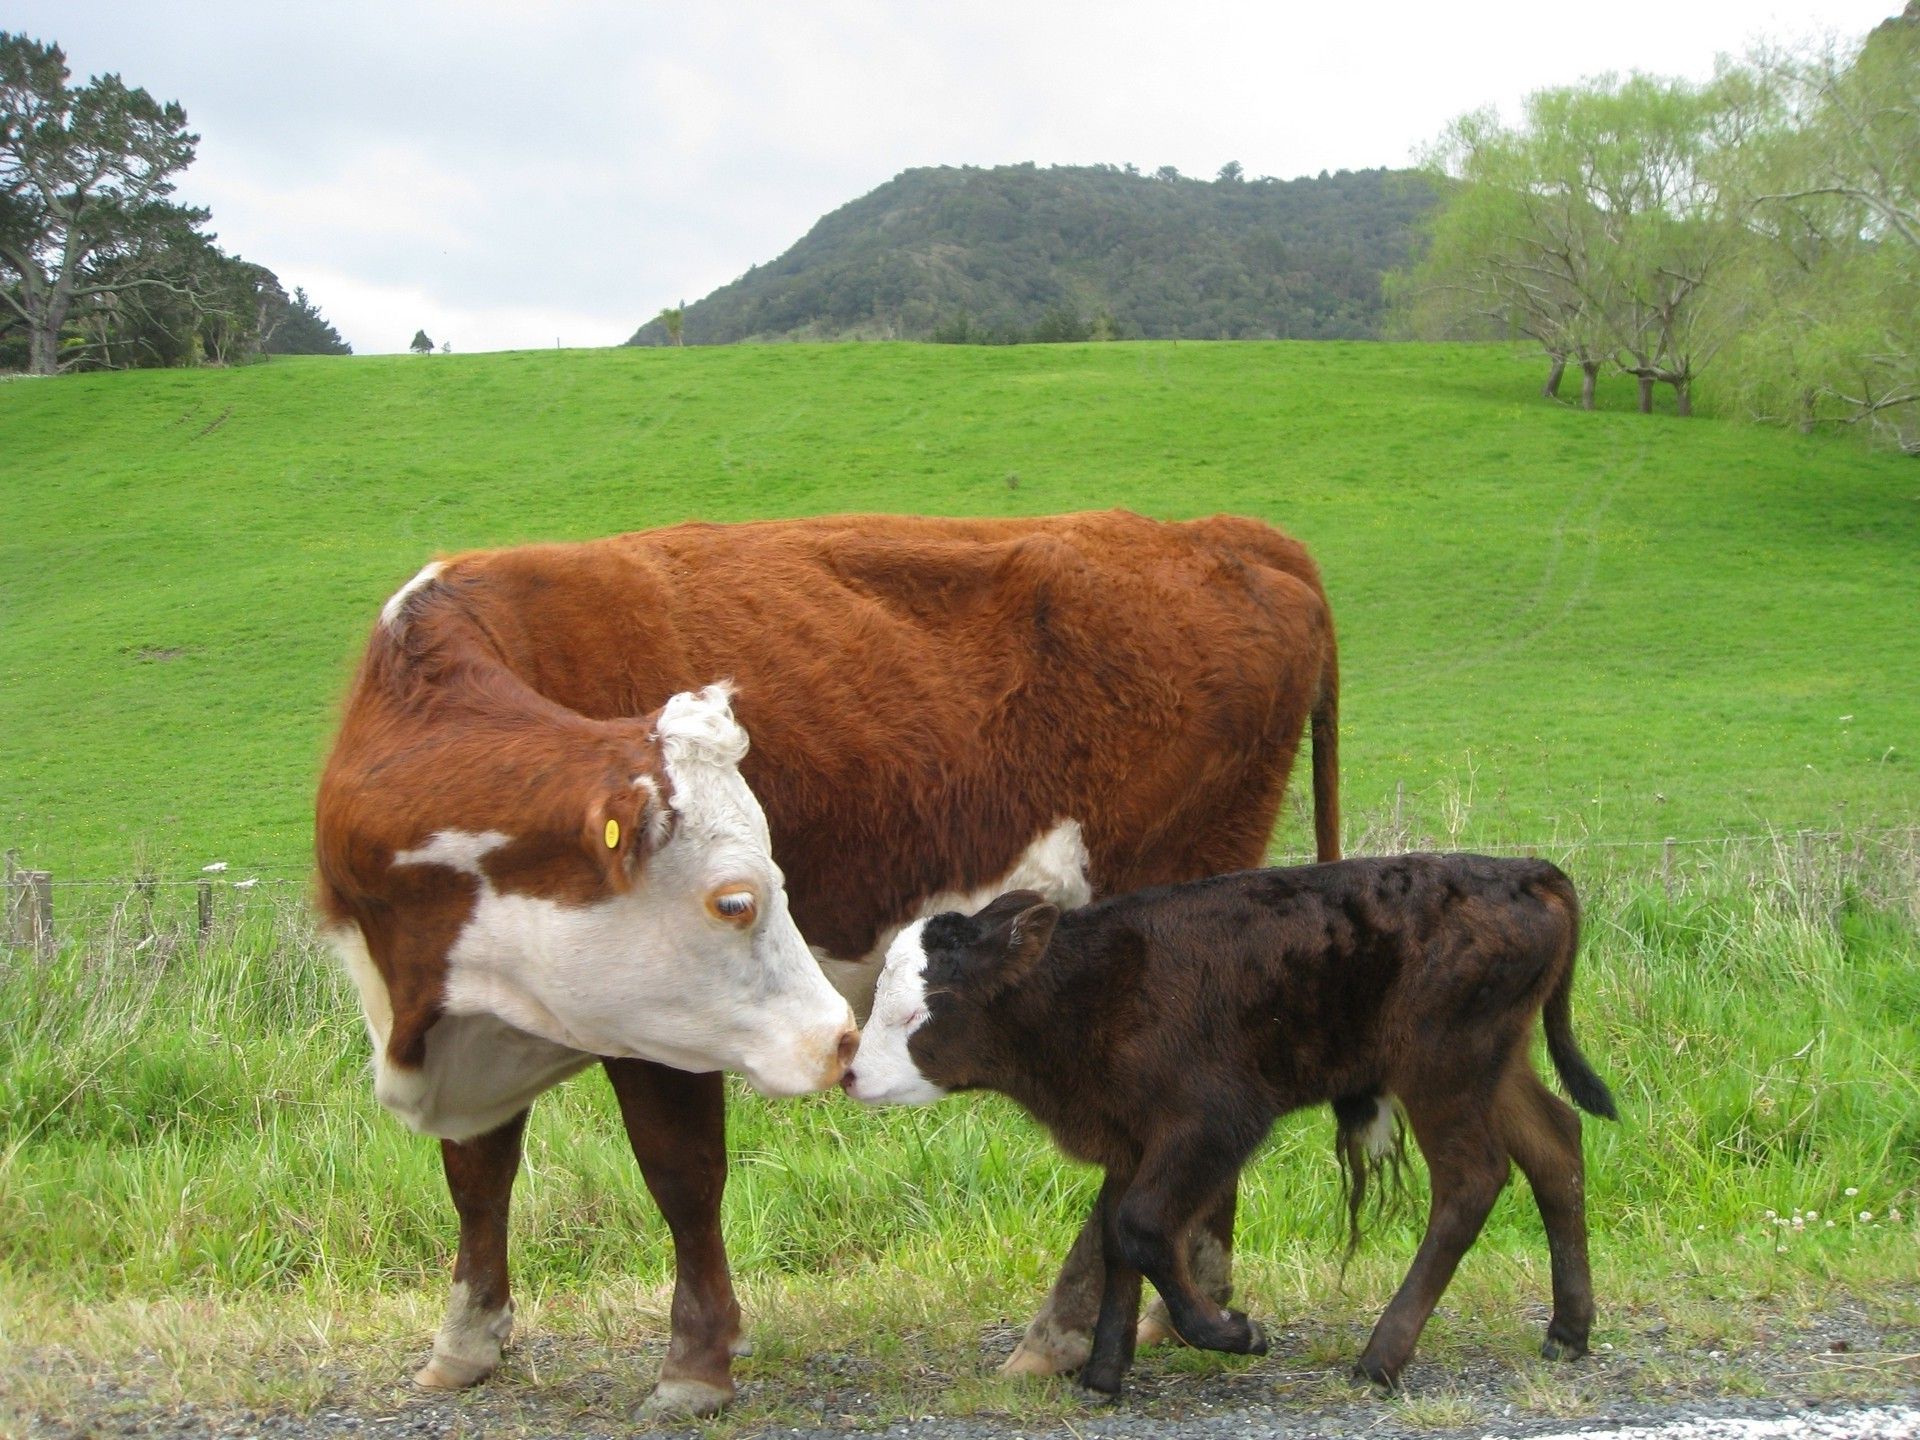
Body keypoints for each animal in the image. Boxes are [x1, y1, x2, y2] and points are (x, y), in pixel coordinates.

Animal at [314, 510, 1336, 1420]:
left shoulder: (657, 1029)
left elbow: (682, 1177)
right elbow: (477, 1174)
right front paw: (465, 1342)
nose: (842, 1042)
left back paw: (1061, 1331)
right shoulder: (465, 1010)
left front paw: (694, 1366)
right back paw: (1189, 1295)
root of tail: (1219, 533)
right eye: (736, 898)